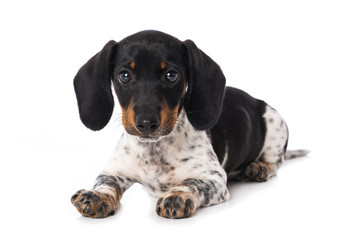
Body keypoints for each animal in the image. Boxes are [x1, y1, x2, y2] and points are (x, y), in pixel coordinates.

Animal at [71, 29, 310, 218]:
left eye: (171, 75)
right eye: (124, 76)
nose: (146, 124)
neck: (155, 150)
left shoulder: (214, 178)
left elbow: (190, 183)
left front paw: (177, 196)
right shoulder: (113, 171)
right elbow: (105, 184)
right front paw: (96, 196)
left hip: (276, 124)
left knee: (276, 162)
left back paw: (259, 168)